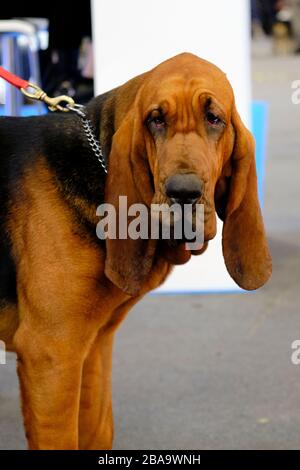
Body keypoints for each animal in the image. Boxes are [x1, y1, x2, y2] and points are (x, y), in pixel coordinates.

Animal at [0, 53, 272, 450]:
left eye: (214, 118)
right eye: (156, 119)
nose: (184, 192)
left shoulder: (94, 346)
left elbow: (98, 428)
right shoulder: (50, 353)